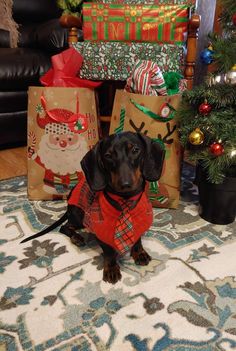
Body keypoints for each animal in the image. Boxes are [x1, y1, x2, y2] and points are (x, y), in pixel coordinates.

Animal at [21, 133, 166, 284]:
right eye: (108, 155)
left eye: (135, 150)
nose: (125, 184)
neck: (125, 200)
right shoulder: (101, 232)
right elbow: (109, 252)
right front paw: (111, 269)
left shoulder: (139, 223)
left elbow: (137, 240)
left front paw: (139, 253)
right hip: (79, 216)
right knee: (65, 227)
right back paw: (76, 238)